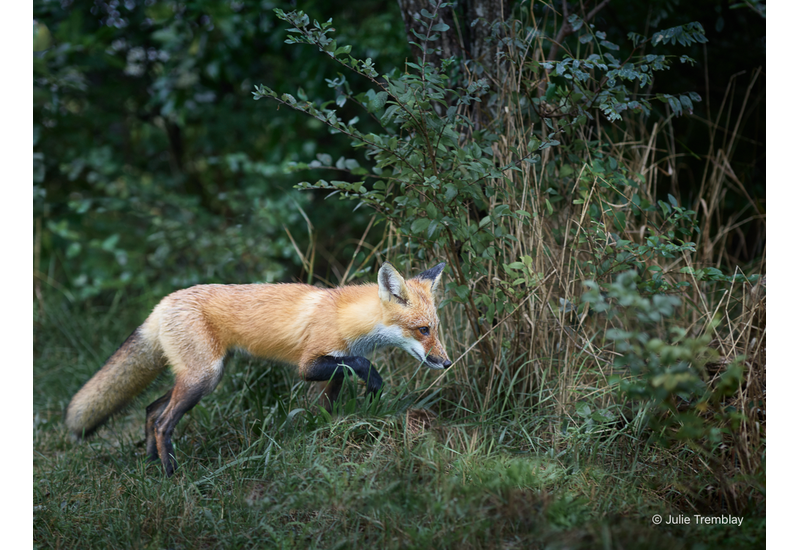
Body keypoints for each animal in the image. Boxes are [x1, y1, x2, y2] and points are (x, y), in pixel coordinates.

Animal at [65, 262, 450, 476]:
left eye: (435, 328)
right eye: (422, 330)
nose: (446, 362)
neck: (347, 318)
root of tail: (163, 302)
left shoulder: (331, 365)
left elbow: (334, 391)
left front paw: (328, 430)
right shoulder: (308, 364)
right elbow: (357, 365)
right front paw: (373, 382)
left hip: (200, 376)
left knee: (149, 410)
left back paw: (151, 465)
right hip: (204, 377)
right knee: (162, 422)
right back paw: (172, 473)